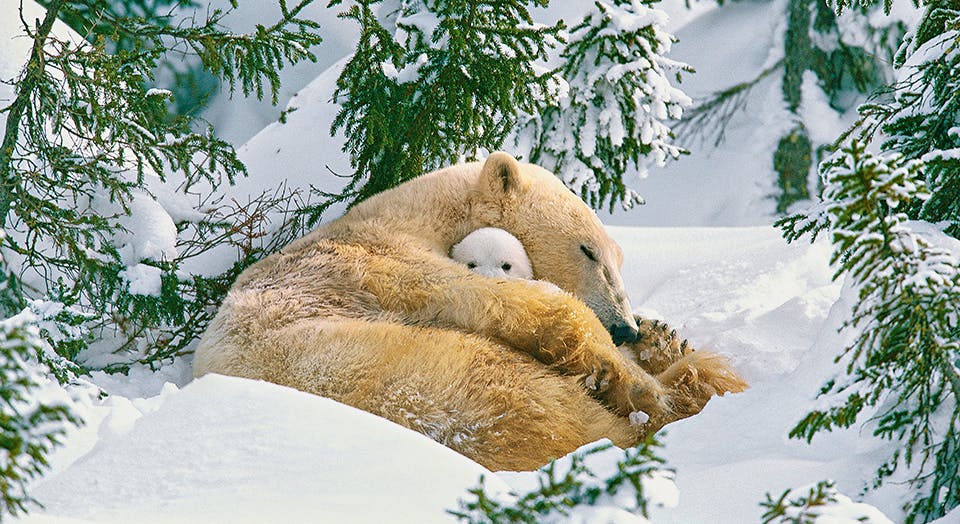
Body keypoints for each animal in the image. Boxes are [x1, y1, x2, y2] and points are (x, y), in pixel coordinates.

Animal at [193, 152, 746, 471]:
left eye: (620, 259)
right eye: (589, 251)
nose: (624, 326)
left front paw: (659, 335)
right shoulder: (381, 262)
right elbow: (521, 304)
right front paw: (639, 382)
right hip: (431, 375)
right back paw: (682, 391)